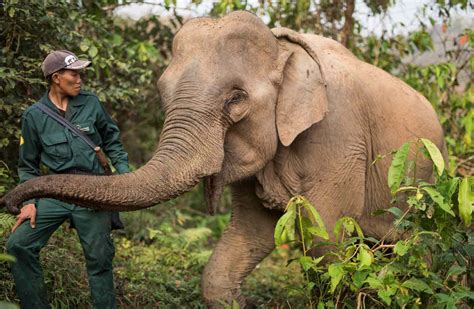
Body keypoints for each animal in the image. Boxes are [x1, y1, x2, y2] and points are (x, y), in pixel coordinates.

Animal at [0, 10, 444, 306]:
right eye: (163, 93)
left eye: (235, 99)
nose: (12, 203)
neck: (282, 47)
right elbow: (248, 235)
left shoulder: (339, 137)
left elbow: (327, 240)